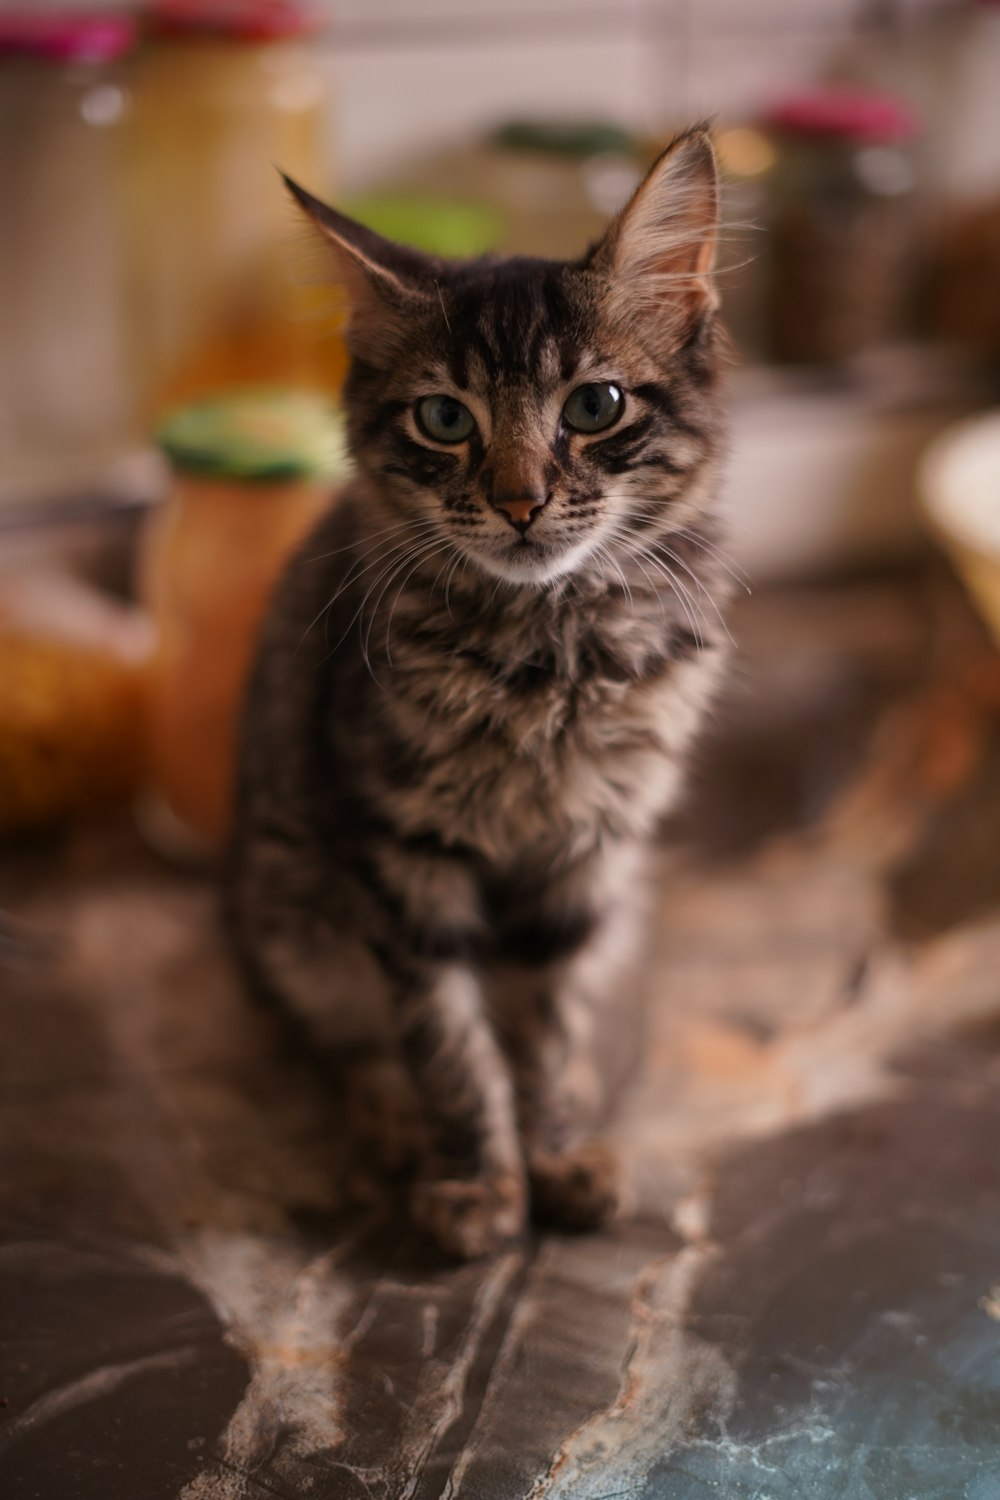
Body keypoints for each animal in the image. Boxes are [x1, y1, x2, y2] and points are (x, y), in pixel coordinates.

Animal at [229, 126, 734, 1254]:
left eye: (595, 406)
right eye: (443, 419)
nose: (518, 501)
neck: (550, 652)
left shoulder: (587, 858)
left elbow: (540, 1029)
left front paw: (552, 1154)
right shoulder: (405, 856)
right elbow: (447, 1040)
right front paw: (477, 1182)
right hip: (290, 907)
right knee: (351, 1040)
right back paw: (389, 1120)